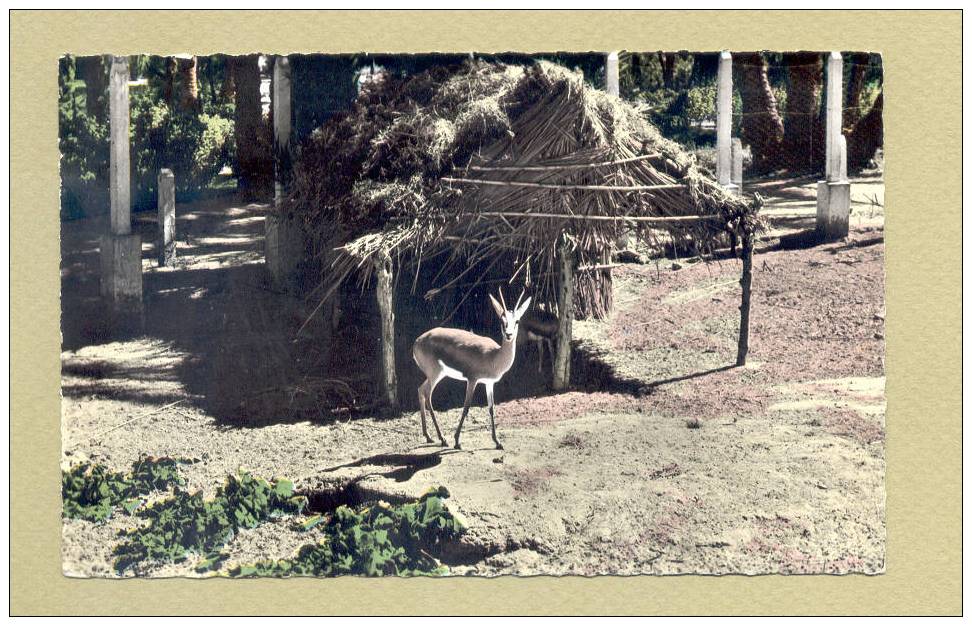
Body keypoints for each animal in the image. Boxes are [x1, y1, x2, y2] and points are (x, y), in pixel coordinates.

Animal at [412, 289, 531, 450]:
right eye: (502, 321)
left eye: (517, 321)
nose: (509, 334)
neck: (493, 356)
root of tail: (417, 341)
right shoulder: (472, 380)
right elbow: (466, 407)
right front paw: (457, 441)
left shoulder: (489, 383)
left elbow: (491, 409)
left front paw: (497, 442)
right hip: (435, 374)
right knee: (427, 394)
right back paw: (443, 439)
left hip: (437, 375)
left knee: (420, 390)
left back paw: (428, 436)